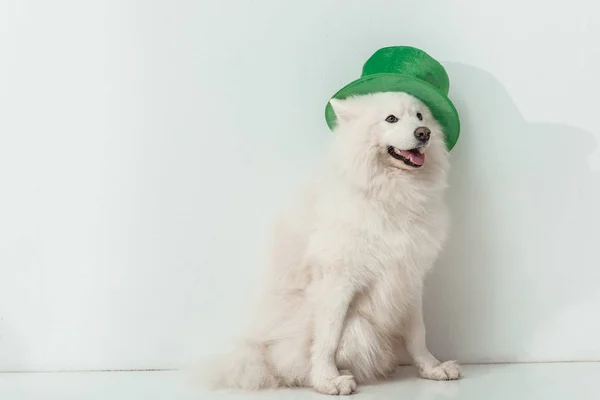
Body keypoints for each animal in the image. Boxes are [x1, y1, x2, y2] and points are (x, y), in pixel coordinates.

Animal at [209, 92, 462, 396]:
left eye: (420, 116)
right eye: (391, 119)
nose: (424, 133)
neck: (389, 193)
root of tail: (258, 351)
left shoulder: (409, 277)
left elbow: (418, 333)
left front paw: (431, 367)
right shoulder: (337, 281)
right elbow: (328, 336)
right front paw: (326, 380)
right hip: (355, 327)